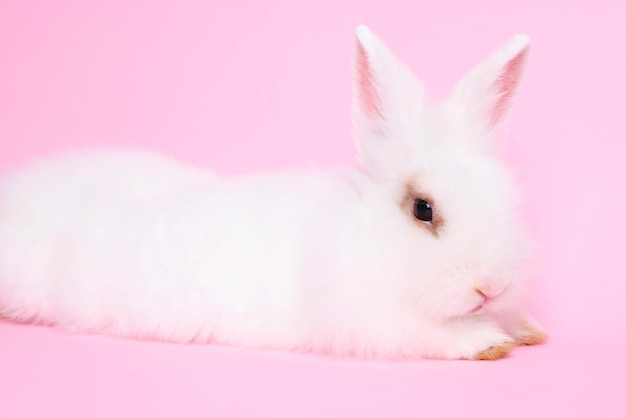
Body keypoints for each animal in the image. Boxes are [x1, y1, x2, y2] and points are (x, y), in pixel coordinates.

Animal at [0, 25, 540, 360]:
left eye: (507, 203)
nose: (489, 288)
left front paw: (527, 329)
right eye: (423, 209)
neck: (370, 241)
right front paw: (486, 340)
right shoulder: (372, 321)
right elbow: (431, 333)